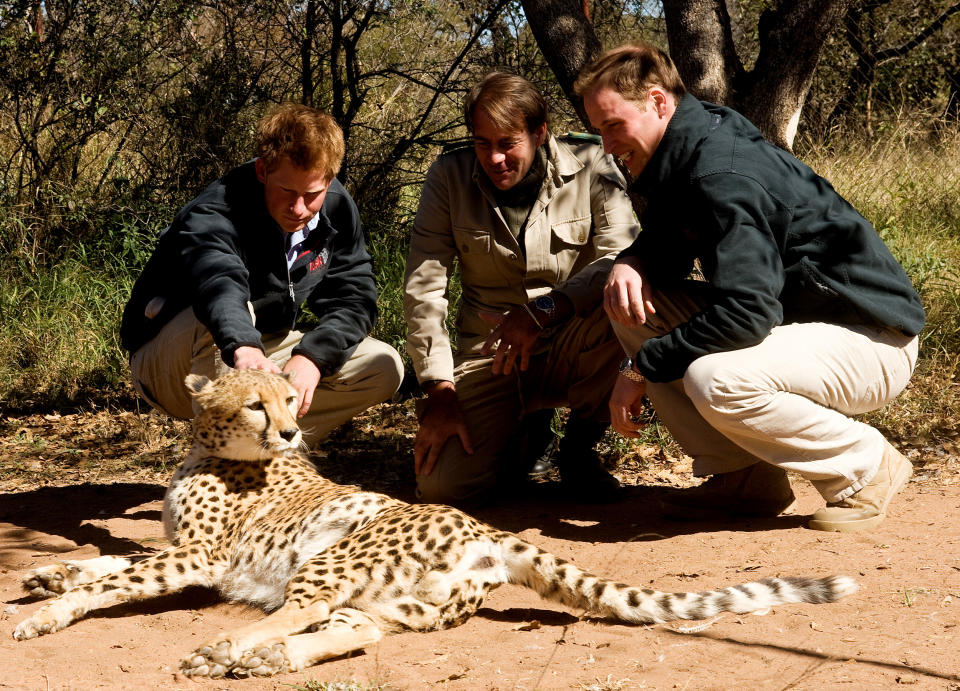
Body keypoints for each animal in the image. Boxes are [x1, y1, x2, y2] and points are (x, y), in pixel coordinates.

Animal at [13, 370, 856, 680]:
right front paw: (46, 572)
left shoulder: (198, 556)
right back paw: (270, 660)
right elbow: (106, 564)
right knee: (353, 629)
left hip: (334, 553)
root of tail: (486, 530)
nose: (291, 431)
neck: (211, 448)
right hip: (404, 596)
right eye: (259, 402)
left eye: (290, 398)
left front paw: (46, 612)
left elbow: (116, 581)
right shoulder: (180, 548)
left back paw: (229, 647)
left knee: (300, 610)